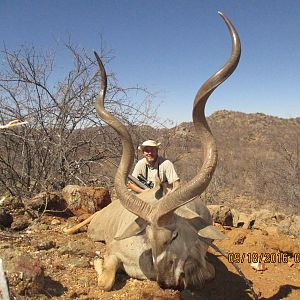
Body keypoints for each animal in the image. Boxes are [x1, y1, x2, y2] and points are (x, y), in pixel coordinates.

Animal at [65, 11, 253, 296]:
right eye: (148, 237)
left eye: (173, 236)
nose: (165, 281)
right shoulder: (114, 251)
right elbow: (106, 278)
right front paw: (95, 260)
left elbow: (208, 273)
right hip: (94, 227)